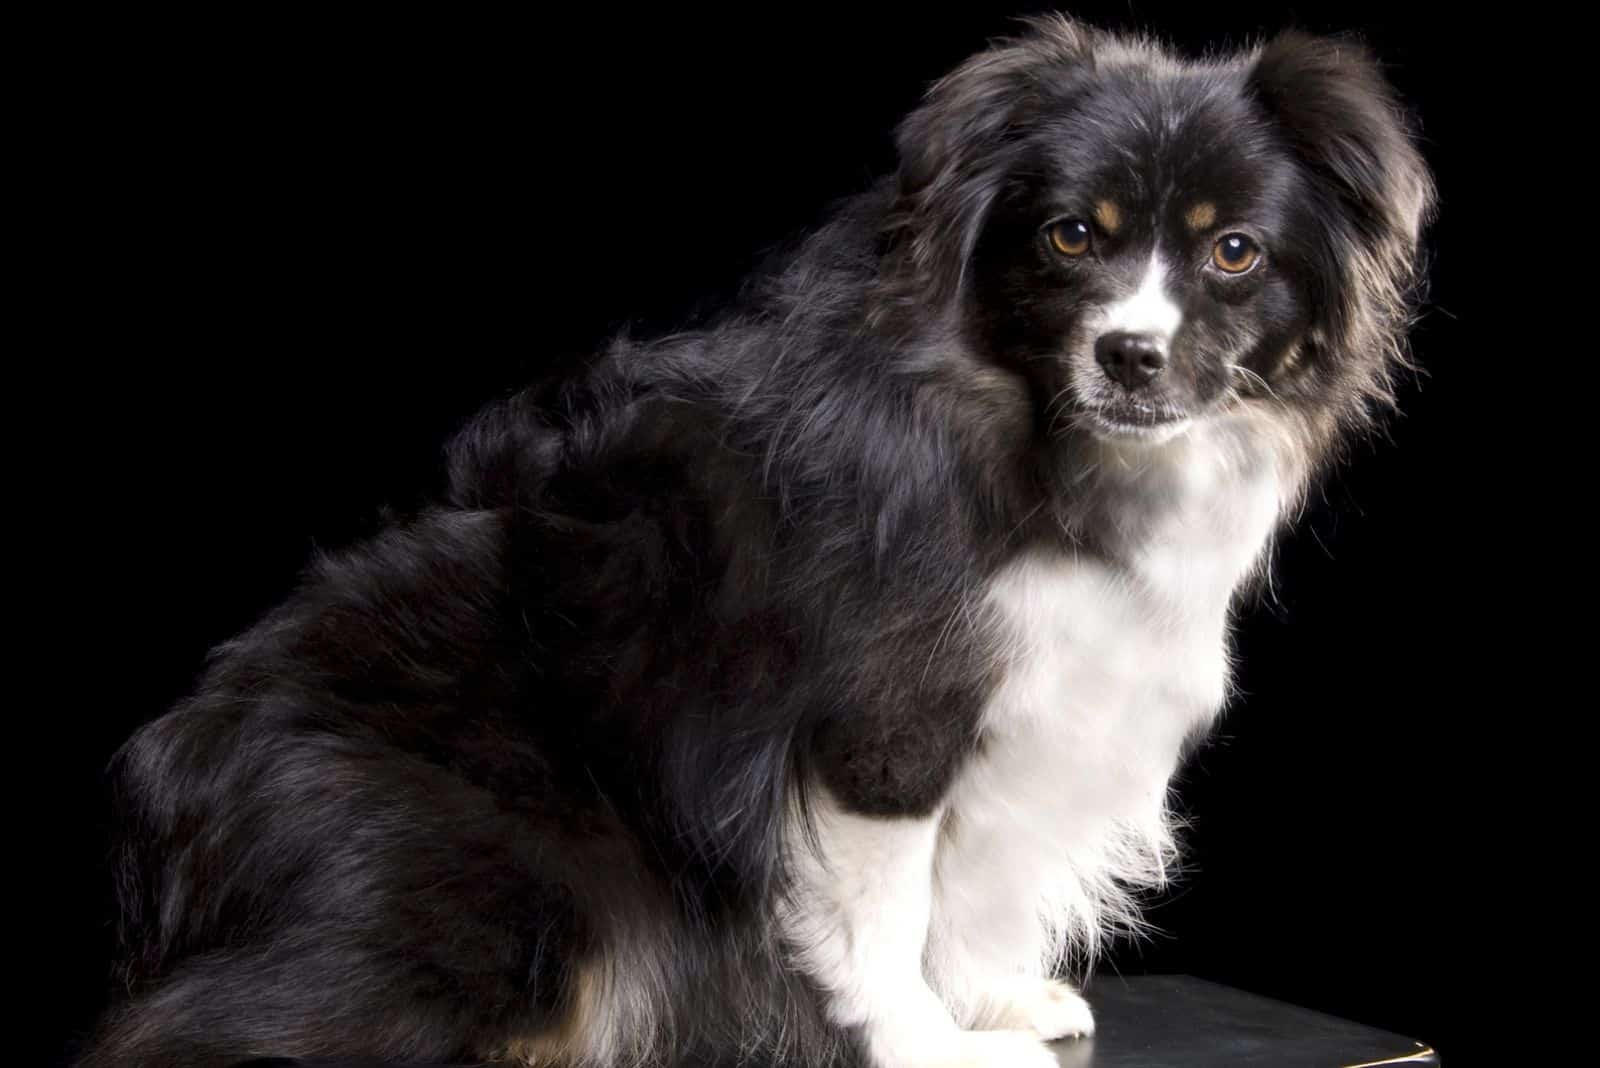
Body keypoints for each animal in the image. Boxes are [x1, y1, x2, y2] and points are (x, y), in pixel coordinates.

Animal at [81, 16, 1440, 1068]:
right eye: (1070, 237)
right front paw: (922, 1041)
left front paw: (989, 997)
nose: (1129, 356)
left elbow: (969, 876)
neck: (1030, 431)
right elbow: (887, 900)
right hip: (497, 878)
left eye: (1232, 251)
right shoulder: (887, 705)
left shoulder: (1035, 697)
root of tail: (158, 837)